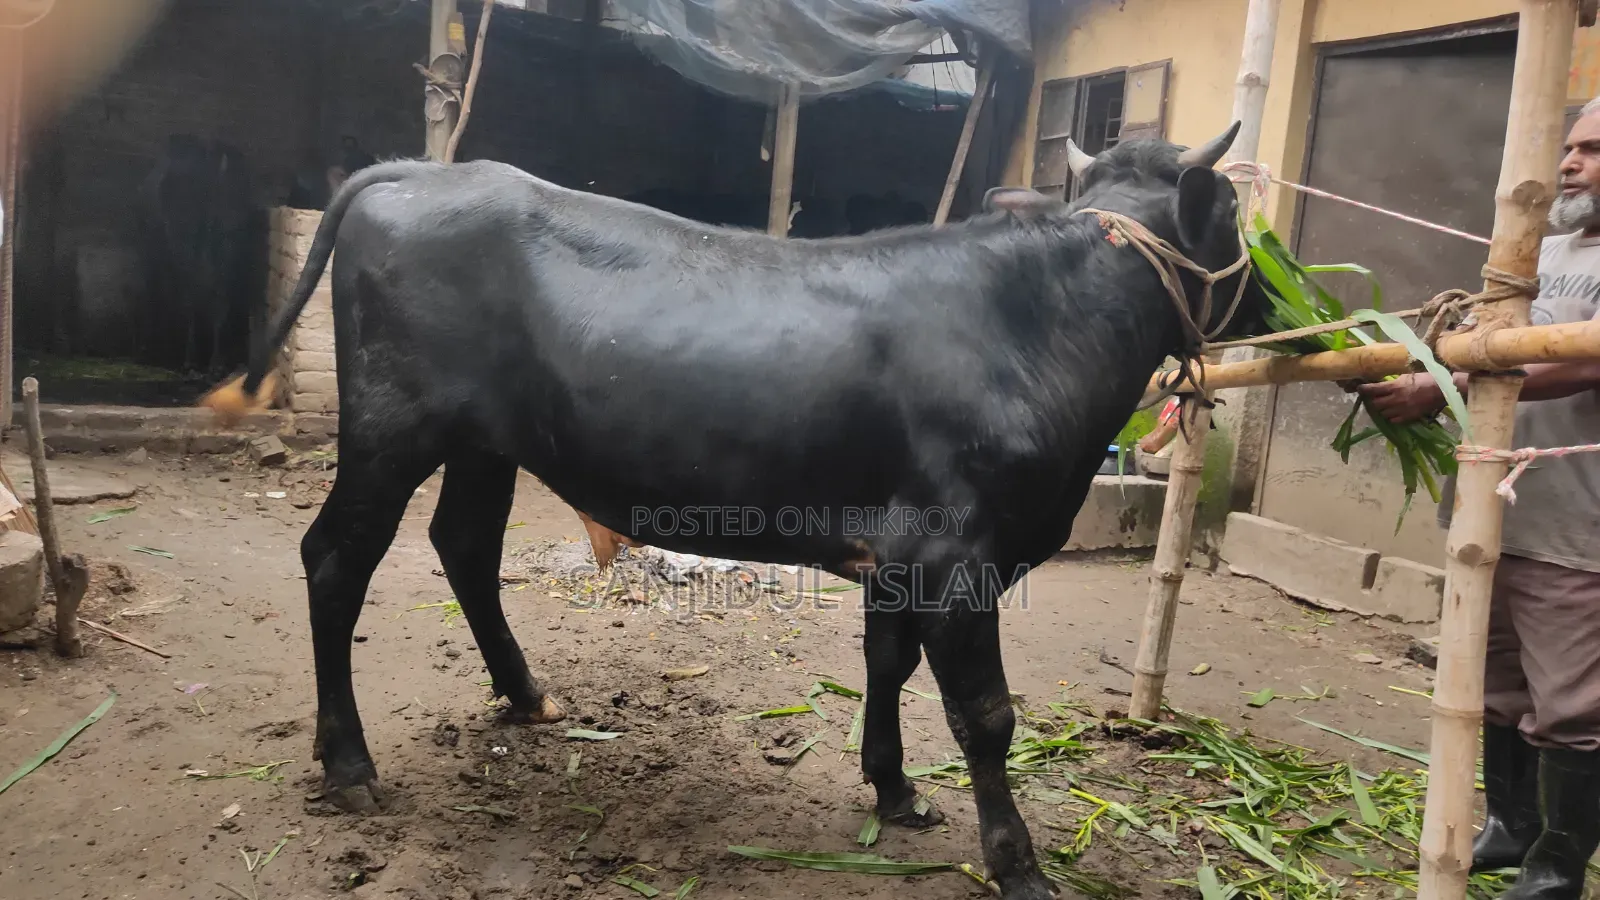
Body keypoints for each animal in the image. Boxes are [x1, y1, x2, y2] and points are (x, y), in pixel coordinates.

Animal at [201, 120, 1263, 899]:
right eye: (1237, 209)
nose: (1271, 296)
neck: (1037, 326)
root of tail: (418, 173)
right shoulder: (958, 553)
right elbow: (986, 715)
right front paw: (1020, 868)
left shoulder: (901, 553)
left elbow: (888, 663)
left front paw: (895, 790)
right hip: (392, 427)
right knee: (336, 558)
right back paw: (349, 765)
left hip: (484, 442)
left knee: (462, 543)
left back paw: (527, 694)